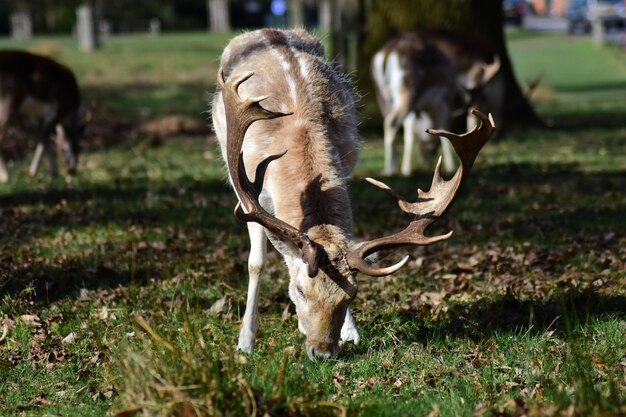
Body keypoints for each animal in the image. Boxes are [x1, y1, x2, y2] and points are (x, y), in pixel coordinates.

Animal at [0, 49, 83, 181]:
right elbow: (44, 138)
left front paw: (49, 172)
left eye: (80, 148)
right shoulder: (55, 111)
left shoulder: (34, 115)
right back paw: (5, 176)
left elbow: (42, 138)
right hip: (9, 101)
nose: (72, 170)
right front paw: (37, 171)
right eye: (65, 149)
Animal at [368, 30, 500, 177]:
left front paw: (406, 168)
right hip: (408, 90)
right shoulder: (443, 102)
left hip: (382, 95)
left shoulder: (417, 109)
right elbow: (444, 127)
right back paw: (390, 170)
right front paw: (451, 166)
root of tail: (387, 51)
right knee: (392, 122)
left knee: (388, 120)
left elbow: (409, 131)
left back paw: (390, 168)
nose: (426, 157)